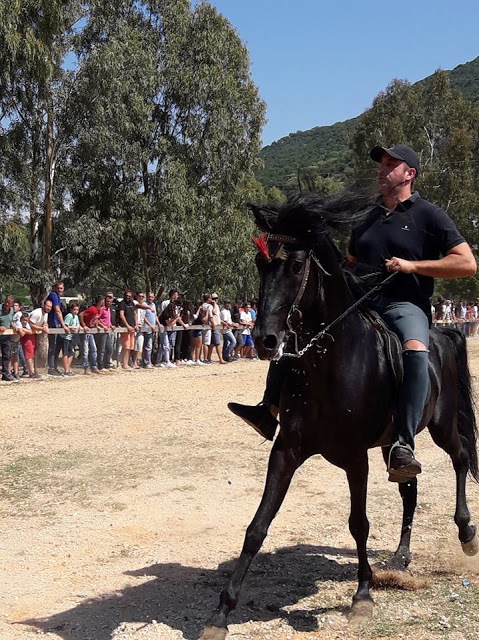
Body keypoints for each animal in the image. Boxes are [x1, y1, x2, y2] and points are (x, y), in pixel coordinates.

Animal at [200, 194, 479, 640]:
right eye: (261, 263)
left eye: (297, 265)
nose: (265, 340)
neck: (329, 364)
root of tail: (442, 334)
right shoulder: (286, 451)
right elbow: (257, 526)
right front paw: (222, 611)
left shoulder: (354, 457)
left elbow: (358, 523)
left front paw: (362, 596)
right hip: (393, 444)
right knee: (409, 488)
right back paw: (400, 557)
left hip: (440, 426)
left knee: (460, 459)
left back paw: (466, 532)